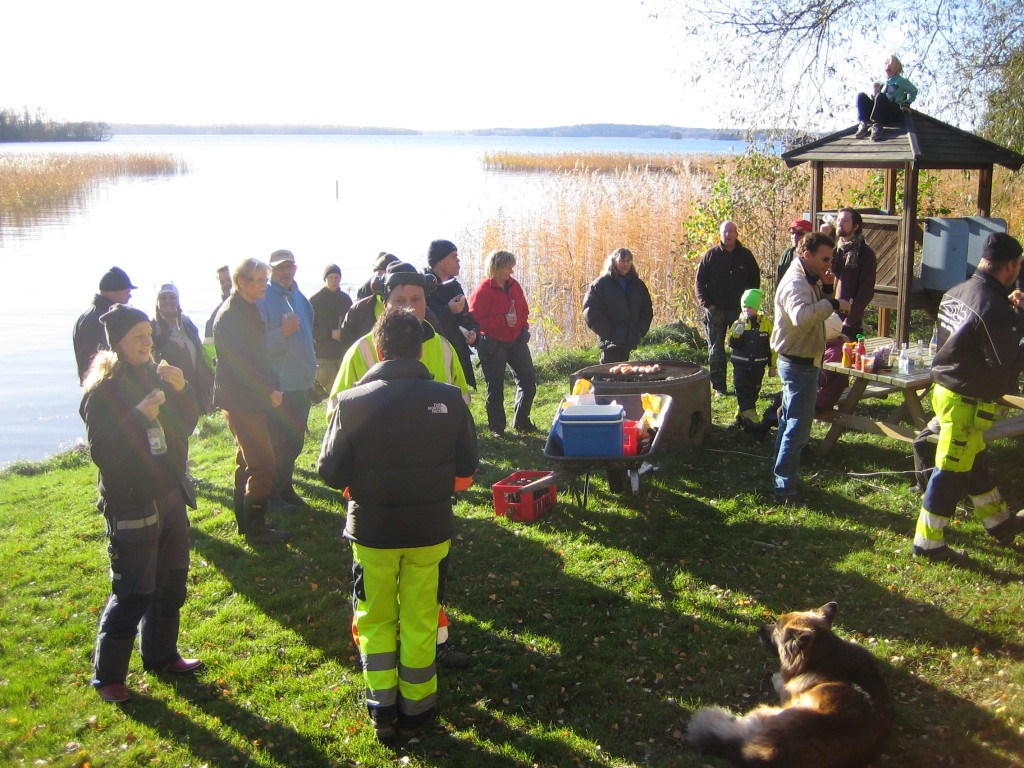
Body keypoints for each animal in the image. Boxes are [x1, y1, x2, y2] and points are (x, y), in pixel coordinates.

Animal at [688, 606, 897, 765]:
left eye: (776, 629)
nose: (759, 628)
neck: (824, 655)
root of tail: (773, 753)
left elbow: (780, 682)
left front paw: (776, 677)